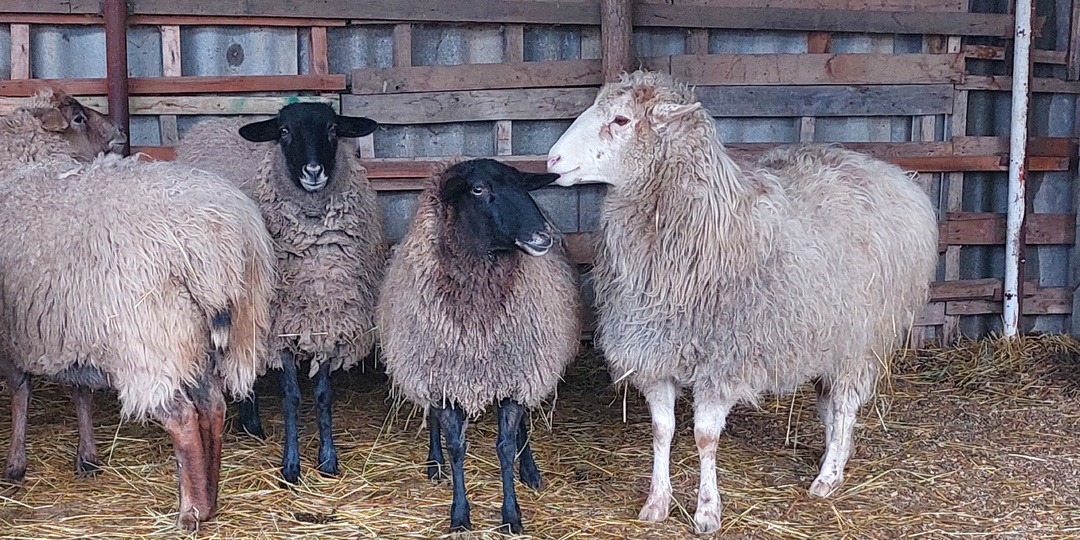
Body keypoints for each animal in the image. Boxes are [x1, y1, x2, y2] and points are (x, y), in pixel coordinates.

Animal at [0, 90, 125, 479]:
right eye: (79, 118)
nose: (120, 129)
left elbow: (79, 390)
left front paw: (87, 454)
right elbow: (21, 390)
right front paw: (16, 461)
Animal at [180, 103, 388, 483]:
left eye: (333, 129)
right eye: (284, 132)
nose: (313, 171)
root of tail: (214, 124)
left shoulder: (326, 320)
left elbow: (322, 394)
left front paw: (327, 459)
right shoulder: (279, 328)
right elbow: (291, 396)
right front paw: (291, 464)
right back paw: (251, 421)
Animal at [378, 157, 583, 533]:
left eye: (522, 185)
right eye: (478, 189)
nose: (543, 236)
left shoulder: (515, 375)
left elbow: (505, 446)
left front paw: (512, 514)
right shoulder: (442, 378)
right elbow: (457, 446)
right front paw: (459, 514)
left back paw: (529, 470)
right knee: (433, 419)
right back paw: (434, 463)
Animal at [544, 70, 941, 531]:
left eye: (622, 120)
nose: (551, 160)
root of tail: (893, 173)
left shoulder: (723, 360)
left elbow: (704, 437)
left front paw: (706, 511)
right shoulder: (655, 352)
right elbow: (662, 431)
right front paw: (657, 503)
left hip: (860, 338)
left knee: (844, 405)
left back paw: (828, 477)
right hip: (826, 332)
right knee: (831, 405)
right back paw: (834, 457)